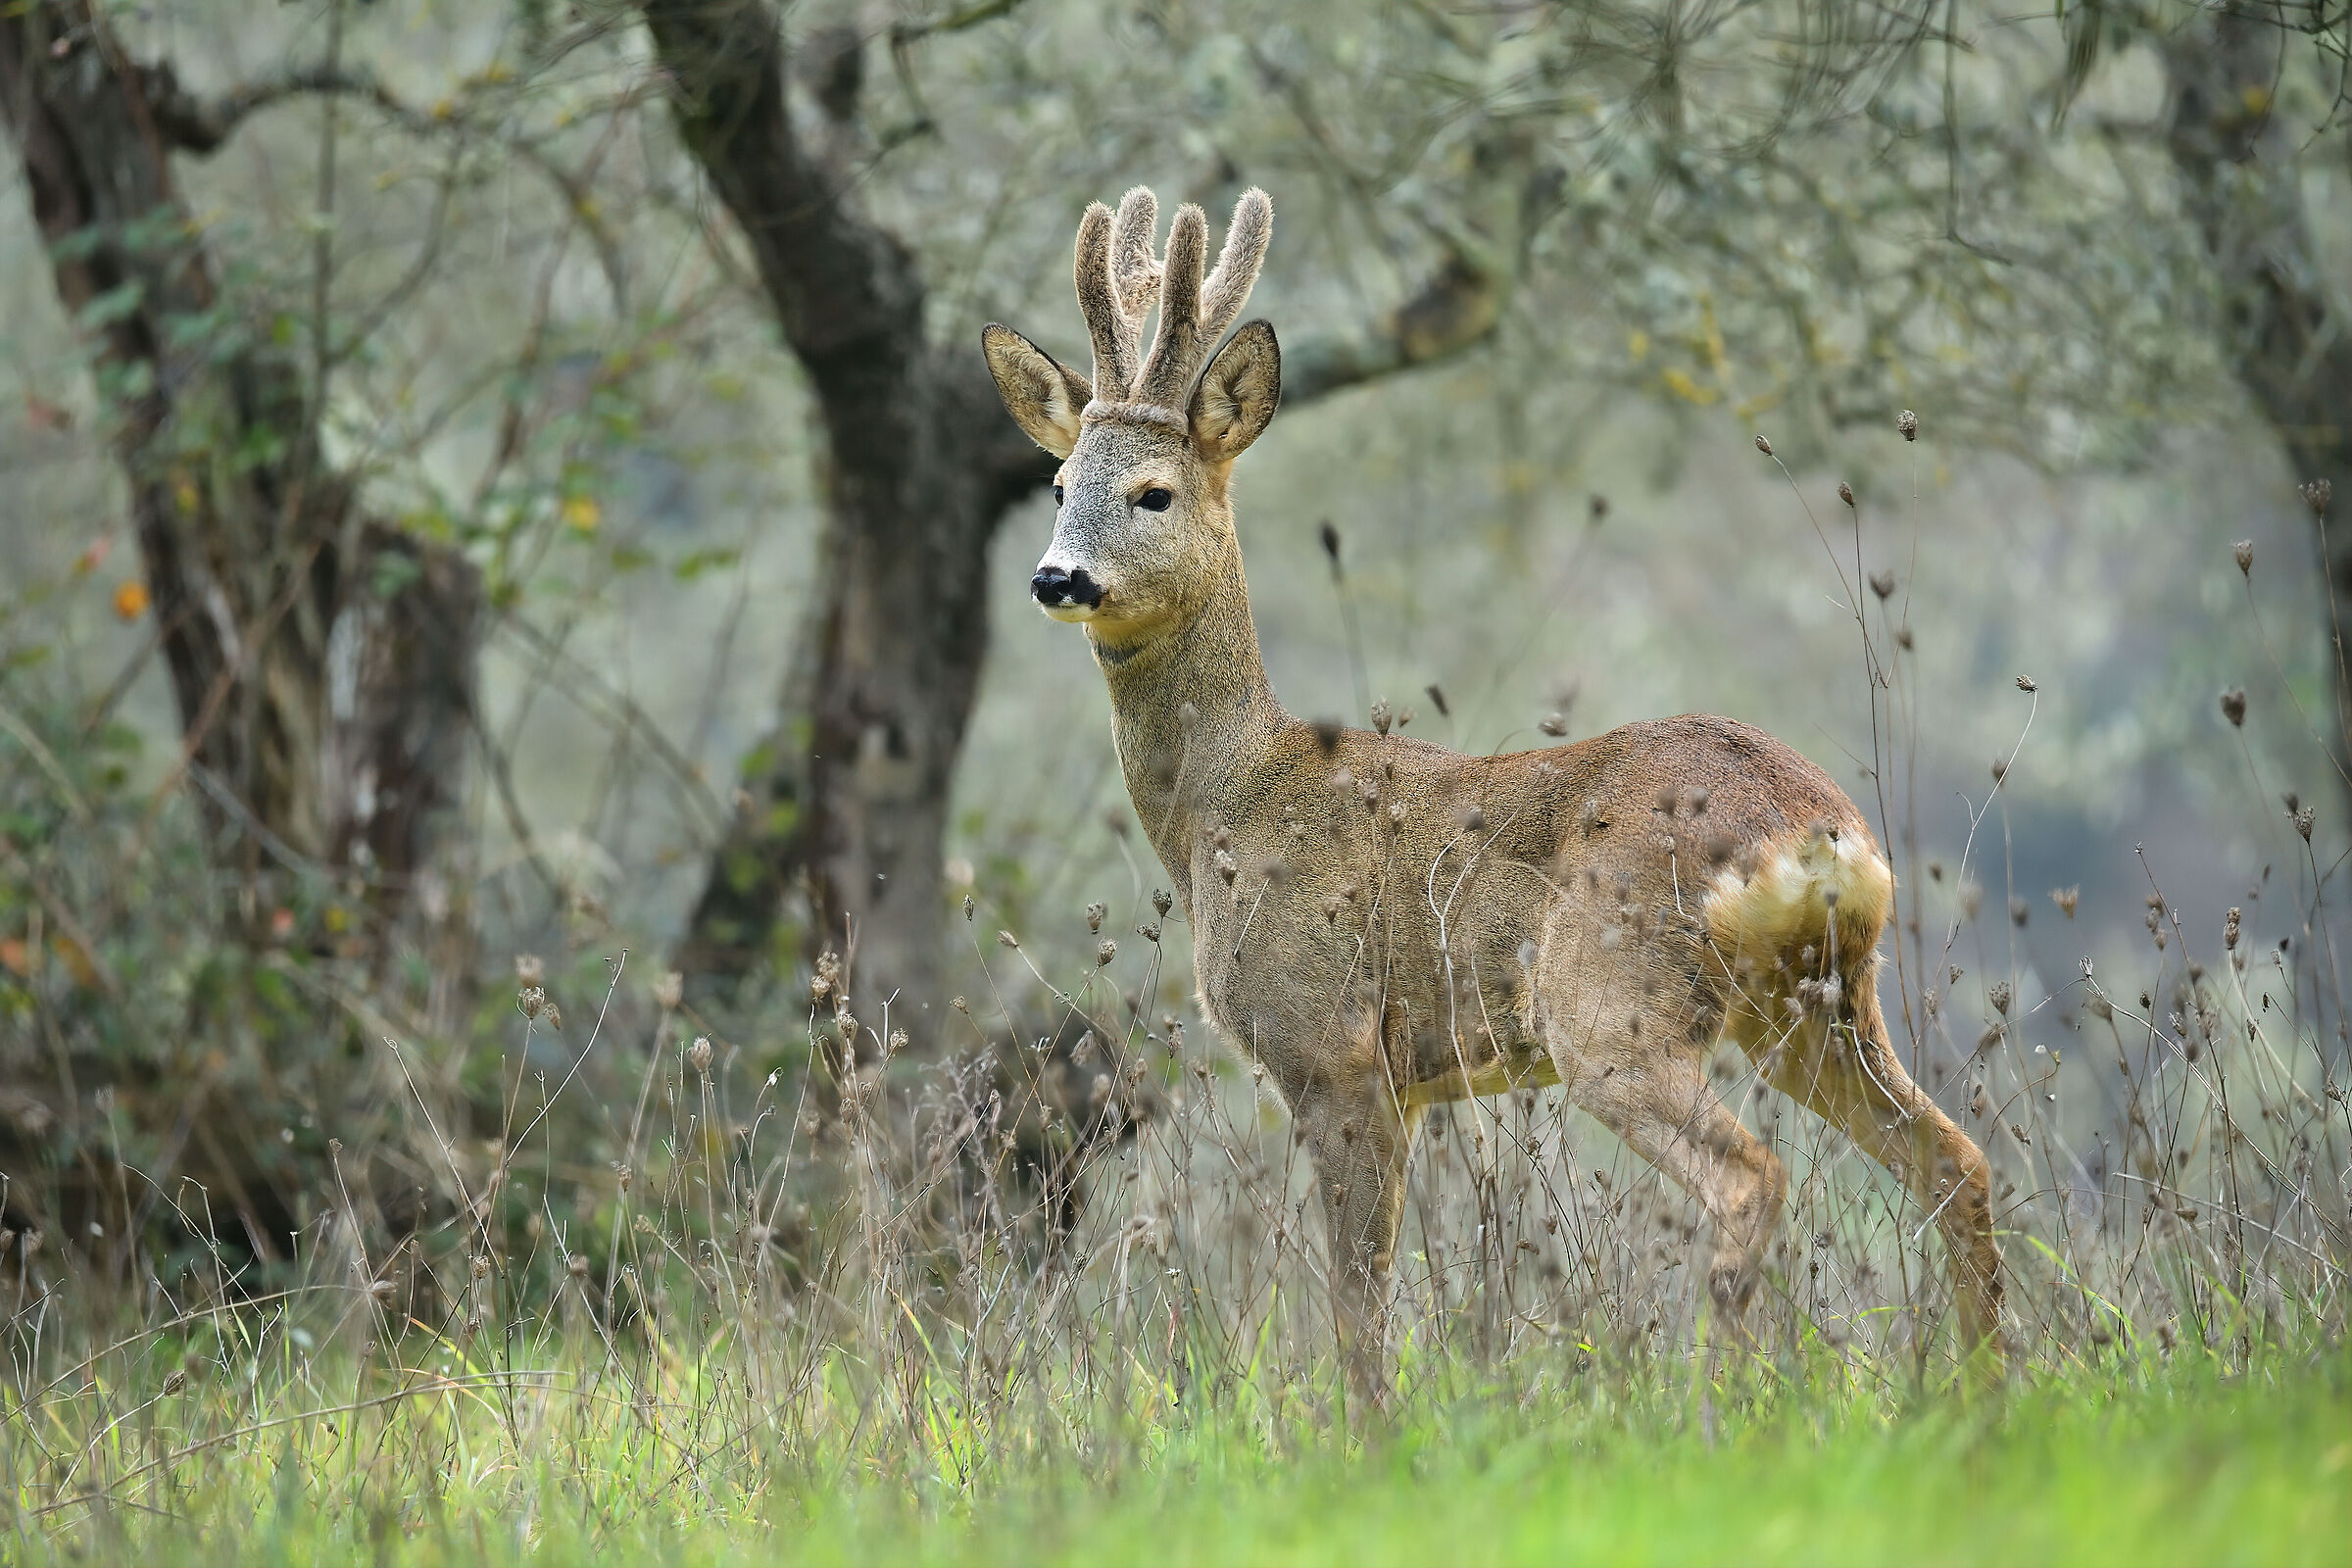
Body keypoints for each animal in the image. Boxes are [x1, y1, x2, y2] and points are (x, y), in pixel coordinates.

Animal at [980, 187, 2003, 1391]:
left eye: (1154, 491)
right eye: (1057, 484)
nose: (1057, 576)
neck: (1227, 813)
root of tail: (1816, 836)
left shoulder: (1334, 1048)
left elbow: (1358, 1310)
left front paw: (1369, 1429)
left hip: (1614, 1010)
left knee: (1754, 1179)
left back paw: (1729, 1399)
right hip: (1822, 1006)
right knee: (1957, 1160)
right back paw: (1986, 1393)